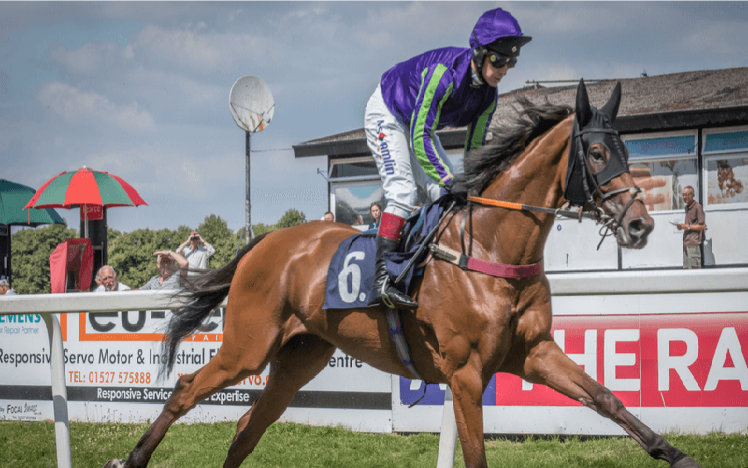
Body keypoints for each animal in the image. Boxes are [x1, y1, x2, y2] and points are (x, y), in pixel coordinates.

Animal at [105, 81, 700, 468]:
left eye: (627, 147)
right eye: (596, 152)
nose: (642, 224)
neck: (491, 245)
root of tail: (265, 243)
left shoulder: (533, 352)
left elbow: (606, 398)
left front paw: (675, 453)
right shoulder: (465, 373)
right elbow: (476, 454)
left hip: (298, 359)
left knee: (247, 429)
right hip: (247, 347)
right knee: (186, 389)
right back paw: (130, 458)